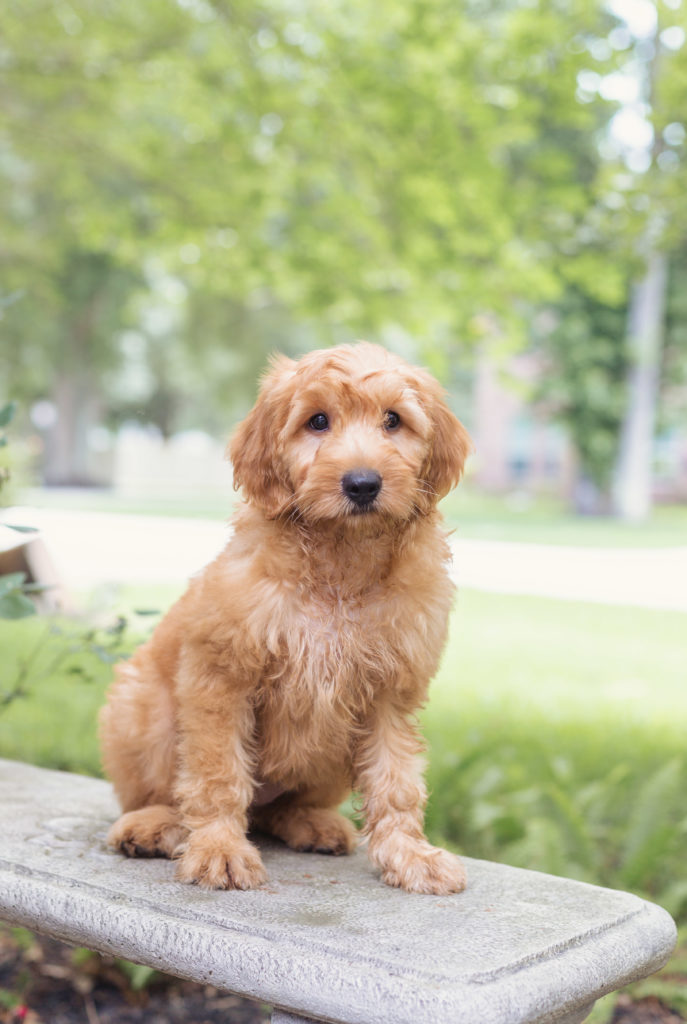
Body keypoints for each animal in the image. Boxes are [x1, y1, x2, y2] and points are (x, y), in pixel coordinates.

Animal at [100, 339, 473, 892]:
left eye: (393, 420)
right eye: (317, 421)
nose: (362, 484)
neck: (339, 567)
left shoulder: (390, 692)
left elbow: (397, 781)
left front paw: (410, 855)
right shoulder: (221, 677)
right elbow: (217, 774)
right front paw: (219, 848)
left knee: (277, 810)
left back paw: (311, 823)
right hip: (140, 710)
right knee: (164, 794)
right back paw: (152, 826)